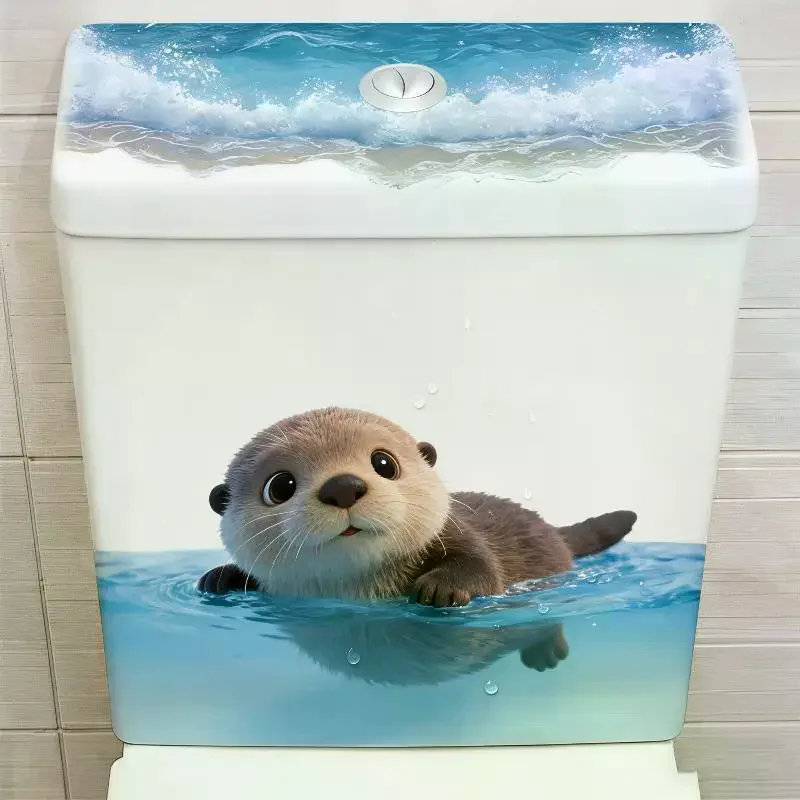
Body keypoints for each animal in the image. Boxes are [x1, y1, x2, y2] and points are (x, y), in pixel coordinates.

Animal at [198, 407, 636, 609]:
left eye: (384, 463)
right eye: (279, 486)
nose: (343, 486)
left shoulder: (459, 535)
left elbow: (484, 568)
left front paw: (444, 586)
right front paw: (222, 577)